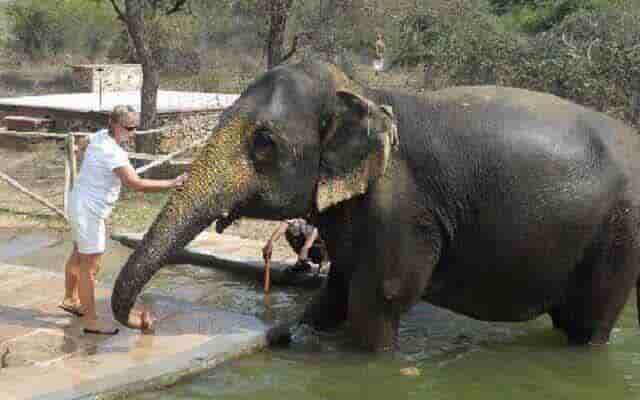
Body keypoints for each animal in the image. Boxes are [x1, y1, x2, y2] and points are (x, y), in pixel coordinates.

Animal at [112, 61, 640, 352]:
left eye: (263, 142)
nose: (144, 321)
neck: (363, 91)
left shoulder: (403, 207)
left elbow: (379, 297)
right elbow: (337, 290)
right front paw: (296, 332)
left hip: (621, 233)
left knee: (589, 322)